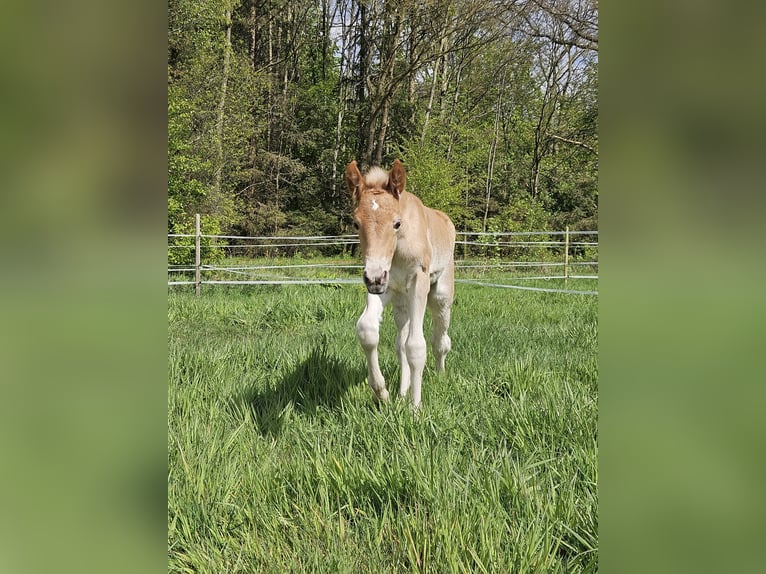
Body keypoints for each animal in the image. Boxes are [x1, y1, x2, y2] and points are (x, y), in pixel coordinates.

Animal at [348, 159, 456, 410]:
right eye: (356, 223)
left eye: (397, 223)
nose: (374, 277)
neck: (397, 251)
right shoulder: (384, 285)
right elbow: (367, 330)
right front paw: (382, 393)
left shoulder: (418, 282)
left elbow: (416, 346)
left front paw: (416, 408)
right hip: (401, 301)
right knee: (401, 343)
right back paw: (402, 392)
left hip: (441, 296)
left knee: (440, 340)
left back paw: (440, 375)